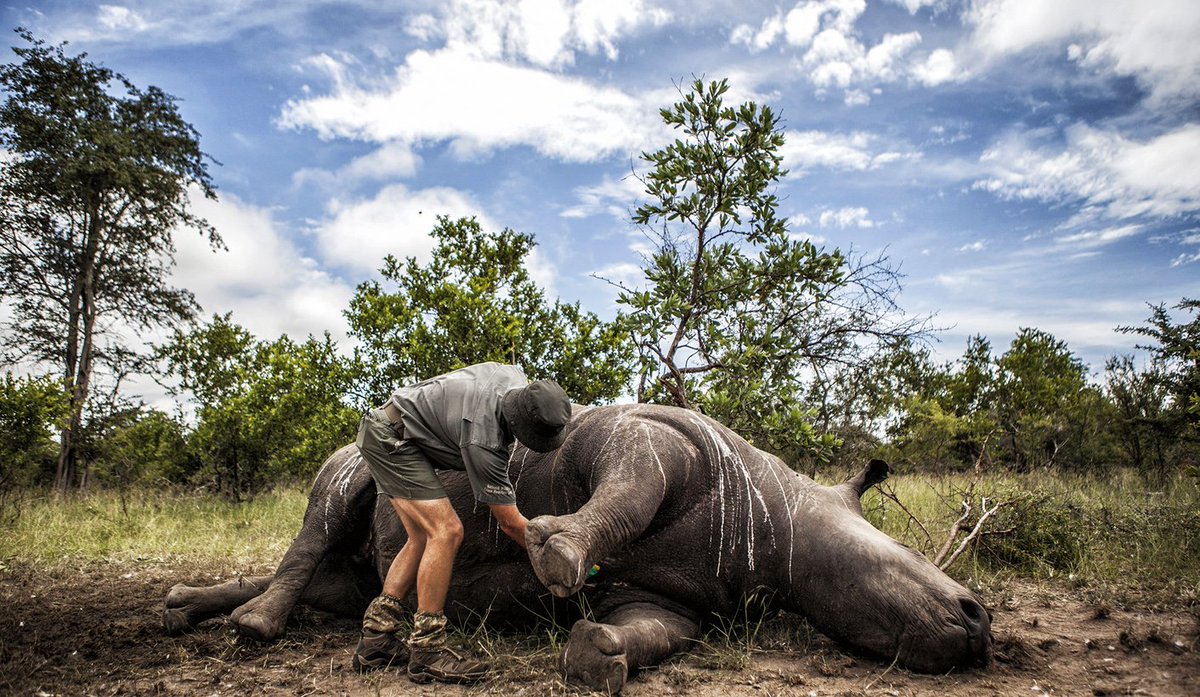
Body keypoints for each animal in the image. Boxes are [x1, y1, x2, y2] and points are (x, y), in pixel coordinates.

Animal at [163, 403, 992, 692]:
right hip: (362, 447)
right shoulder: (652, 435)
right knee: (329, 503)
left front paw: (597, 655)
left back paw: (188, 611)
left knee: (345, 583)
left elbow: (655, 628)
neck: (782, 510)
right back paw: (255, 628)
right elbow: (626, 488)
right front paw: (554, 548)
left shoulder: (677, 595)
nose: (979, 620)